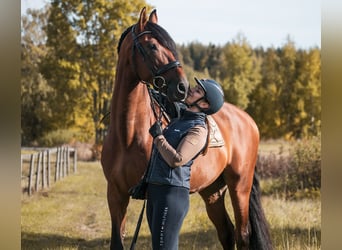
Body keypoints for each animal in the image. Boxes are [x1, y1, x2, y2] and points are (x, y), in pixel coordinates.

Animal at [101, 6, 272, 249]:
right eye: (152, 46)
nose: (182, 87)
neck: (128, 135)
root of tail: (248, 120)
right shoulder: (116, 195)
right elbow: (117, 241)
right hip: (212, 190)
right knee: (227, 233)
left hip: (240, 186)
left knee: (243, 235)